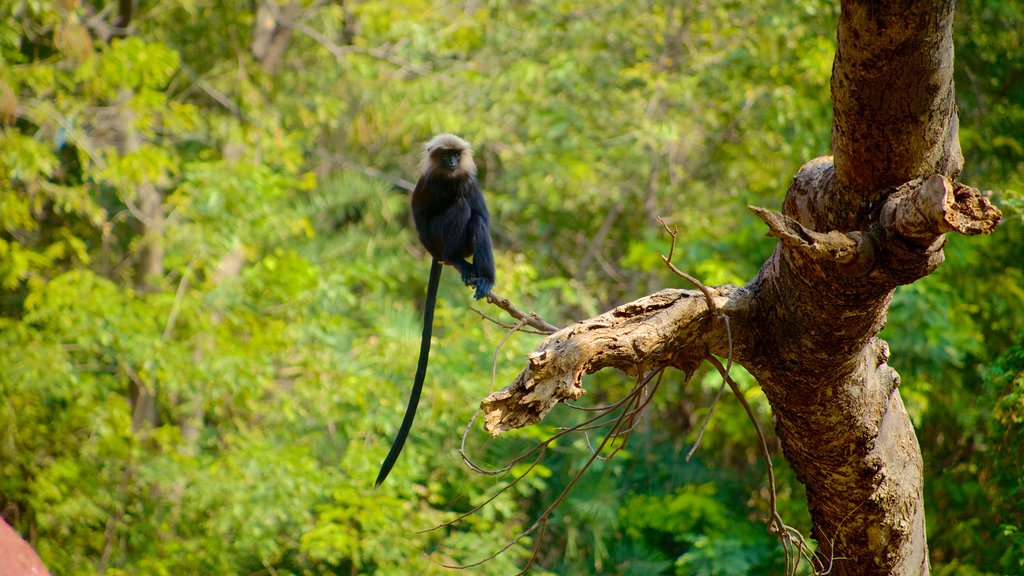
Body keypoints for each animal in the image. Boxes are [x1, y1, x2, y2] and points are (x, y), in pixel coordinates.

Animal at [376, 133, 495, 483]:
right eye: (446, 155)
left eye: (456, 154)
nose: (454, 162)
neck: (450, 179)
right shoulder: (427, 184)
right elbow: (420, 214)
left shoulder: (468, 180)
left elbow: (482, 216)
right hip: (441, 241)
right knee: (458, 209)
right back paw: (457, 261)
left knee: (474, 217)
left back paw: (481, 276)